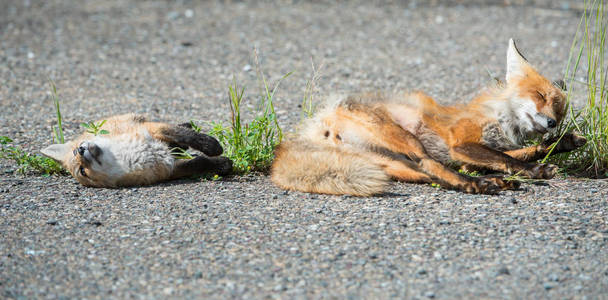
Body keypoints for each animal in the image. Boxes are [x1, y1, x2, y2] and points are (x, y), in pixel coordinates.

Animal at [39, 113, 230, 186]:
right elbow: (199, 162)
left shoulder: (150, 130)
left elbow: (184, 135)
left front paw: (211, 145)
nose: (80, 150)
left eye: (74, 152)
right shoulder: (168, 169)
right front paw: (222, 164)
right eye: (82, 171)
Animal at [270, 38, 584, 196]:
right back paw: (478, 185)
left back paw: (486, 182)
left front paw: (560, 144)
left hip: (390, 163)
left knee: (428, 174)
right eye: (540, 96)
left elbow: (520, 153)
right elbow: (508, 159)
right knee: (430, 164)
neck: (500, 120)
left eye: (560, 111)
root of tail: (317, 123)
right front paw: (535, 170)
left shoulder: (471, 154)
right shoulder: (461, 143)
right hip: (406, 140)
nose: (552, 123)